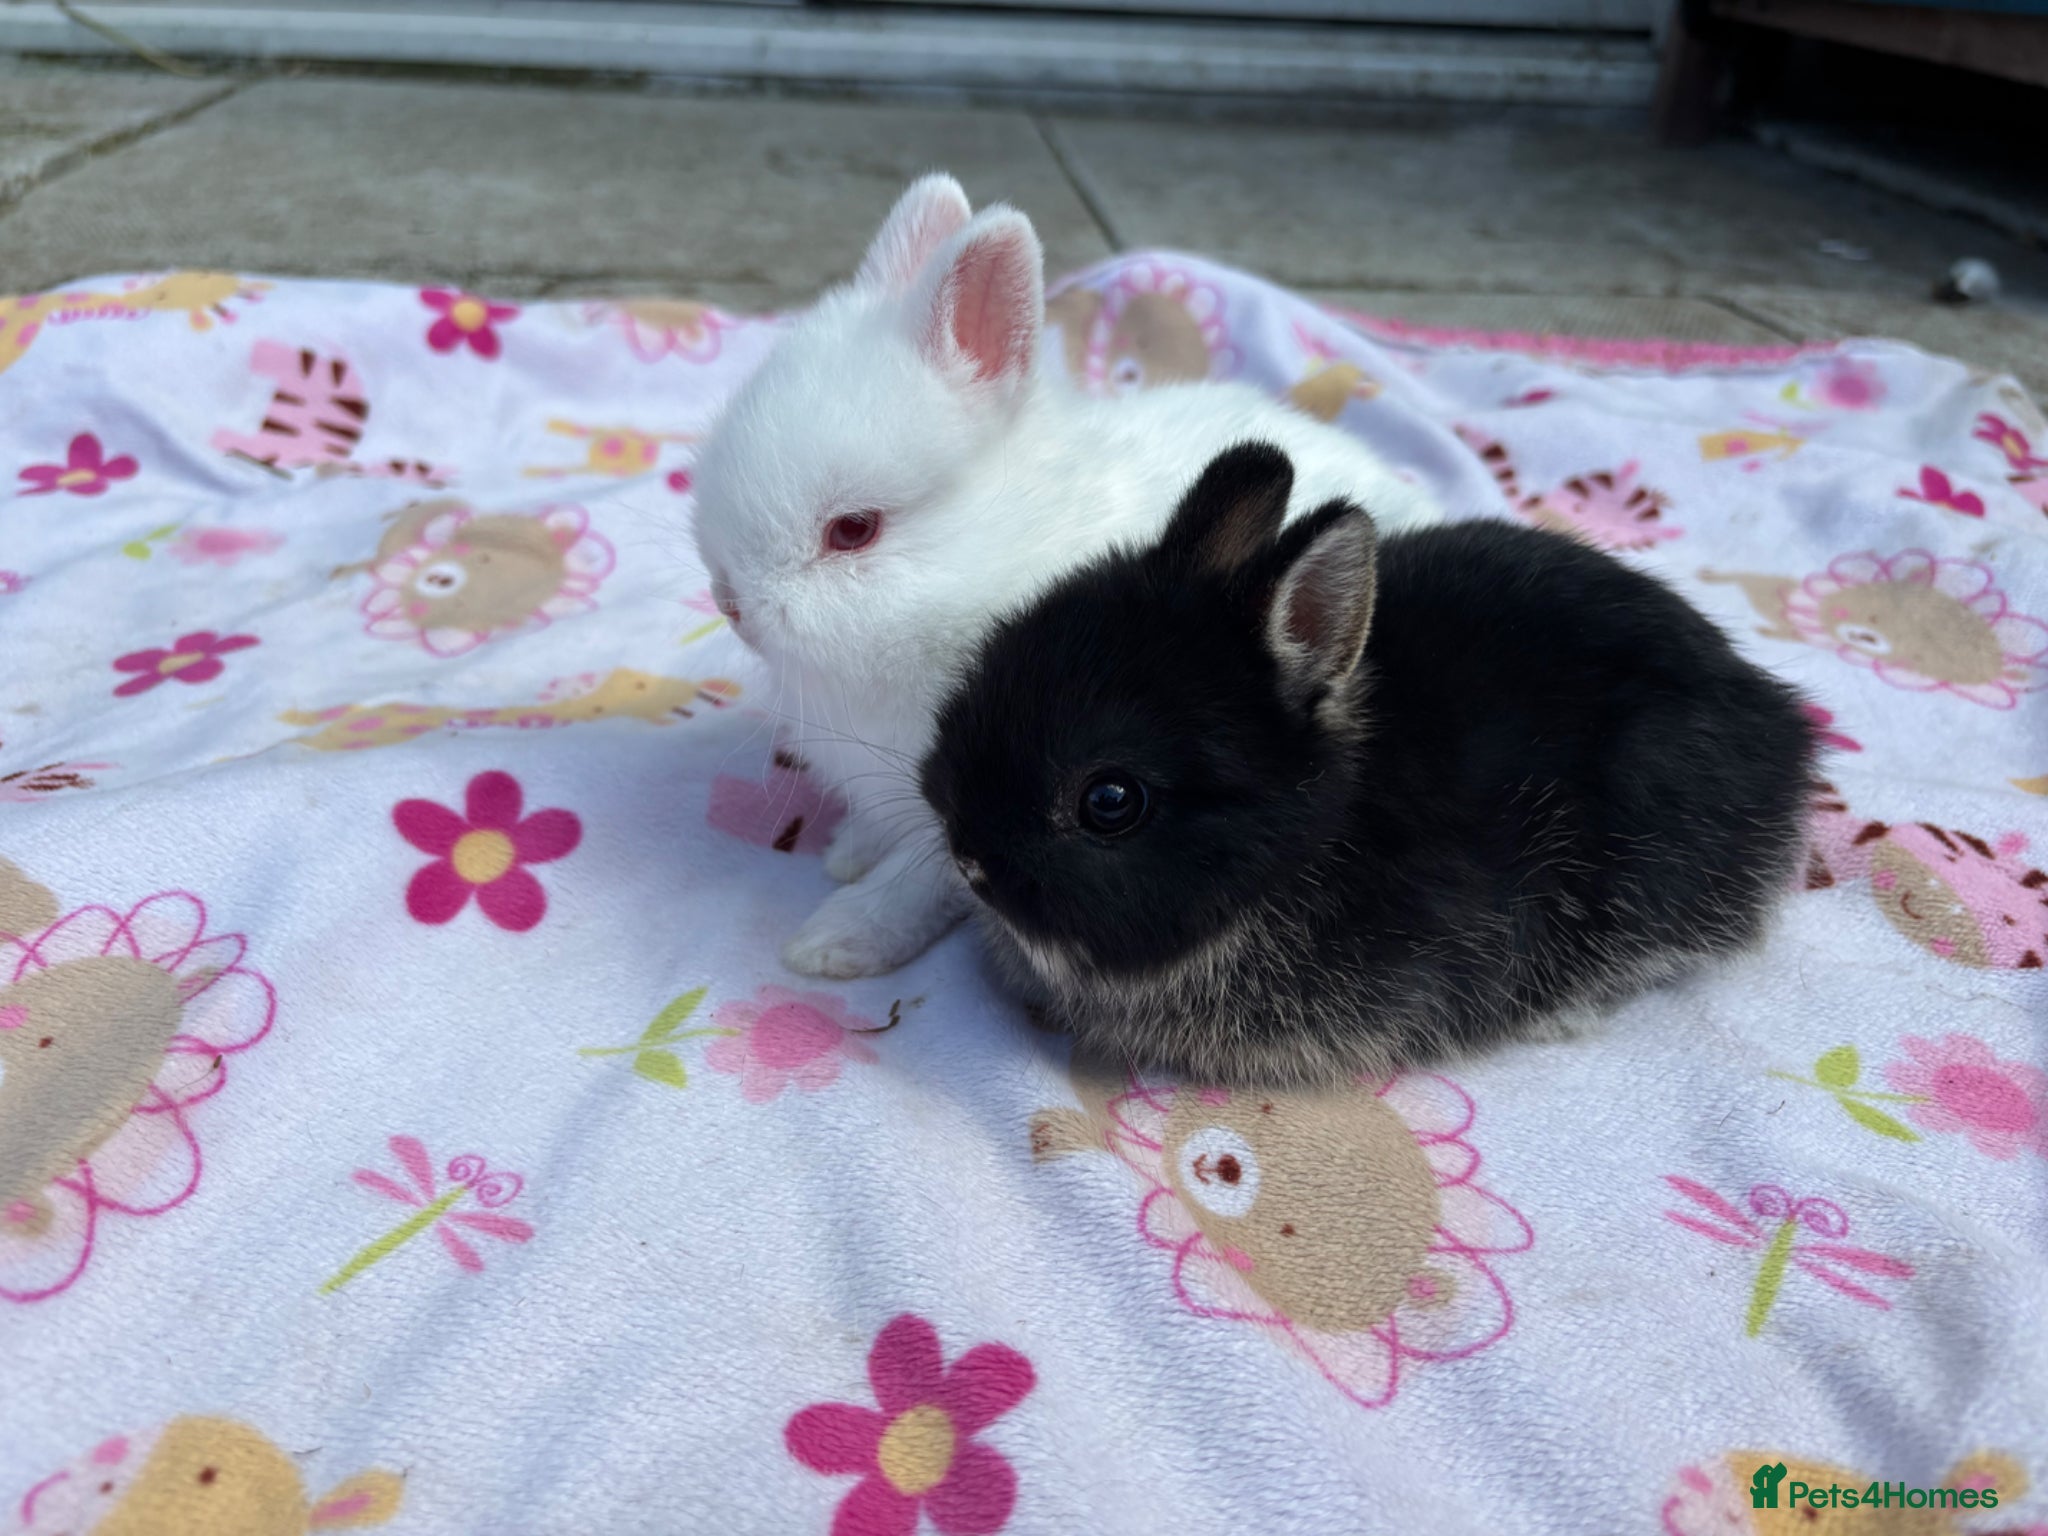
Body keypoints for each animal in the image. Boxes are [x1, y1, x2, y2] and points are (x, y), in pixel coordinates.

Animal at [691, 174, 1442, 980]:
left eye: (853, 530)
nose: (729, 603)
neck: (983, 572)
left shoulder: (950, 816)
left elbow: (919, 883)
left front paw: (834, 941)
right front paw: (846, 853)